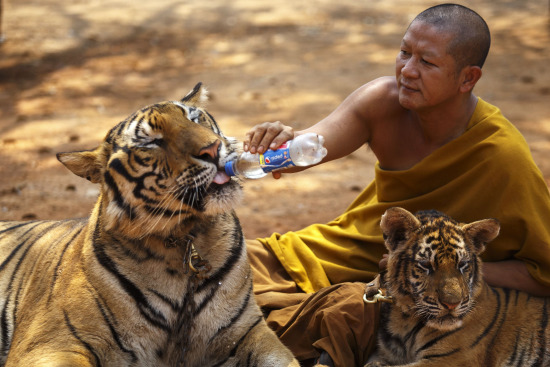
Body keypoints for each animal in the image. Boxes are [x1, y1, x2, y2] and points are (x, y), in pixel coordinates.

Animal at [0, 83, 300, 367]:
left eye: (194, 117)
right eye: (152, 142)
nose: (212, 149)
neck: (183, 237)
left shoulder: (248, 331)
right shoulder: (52, 342)